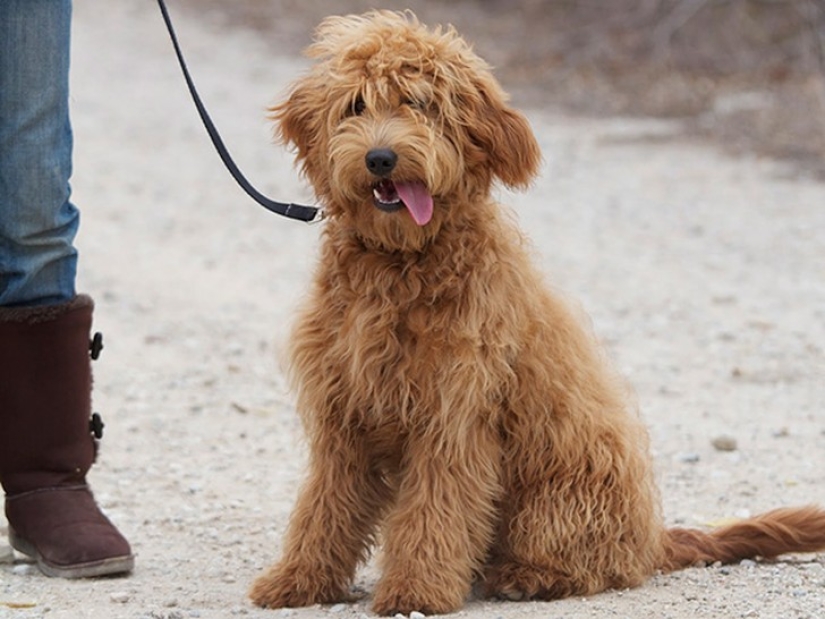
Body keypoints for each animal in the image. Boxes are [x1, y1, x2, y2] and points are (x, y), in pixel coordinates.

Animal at [249, 10, 824, 619]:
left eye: (421, 104)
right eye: (356, 105)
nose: (380, 157)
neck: (401, 265)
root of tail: (652, 539)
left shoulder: (453, 417)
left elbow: (435, 509)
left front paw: (415, 590)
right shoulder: (344, 416)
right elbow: (324, 506)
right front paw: (299, 579)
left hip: (559, 495)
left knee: (591, 564)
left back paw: (524, 575)